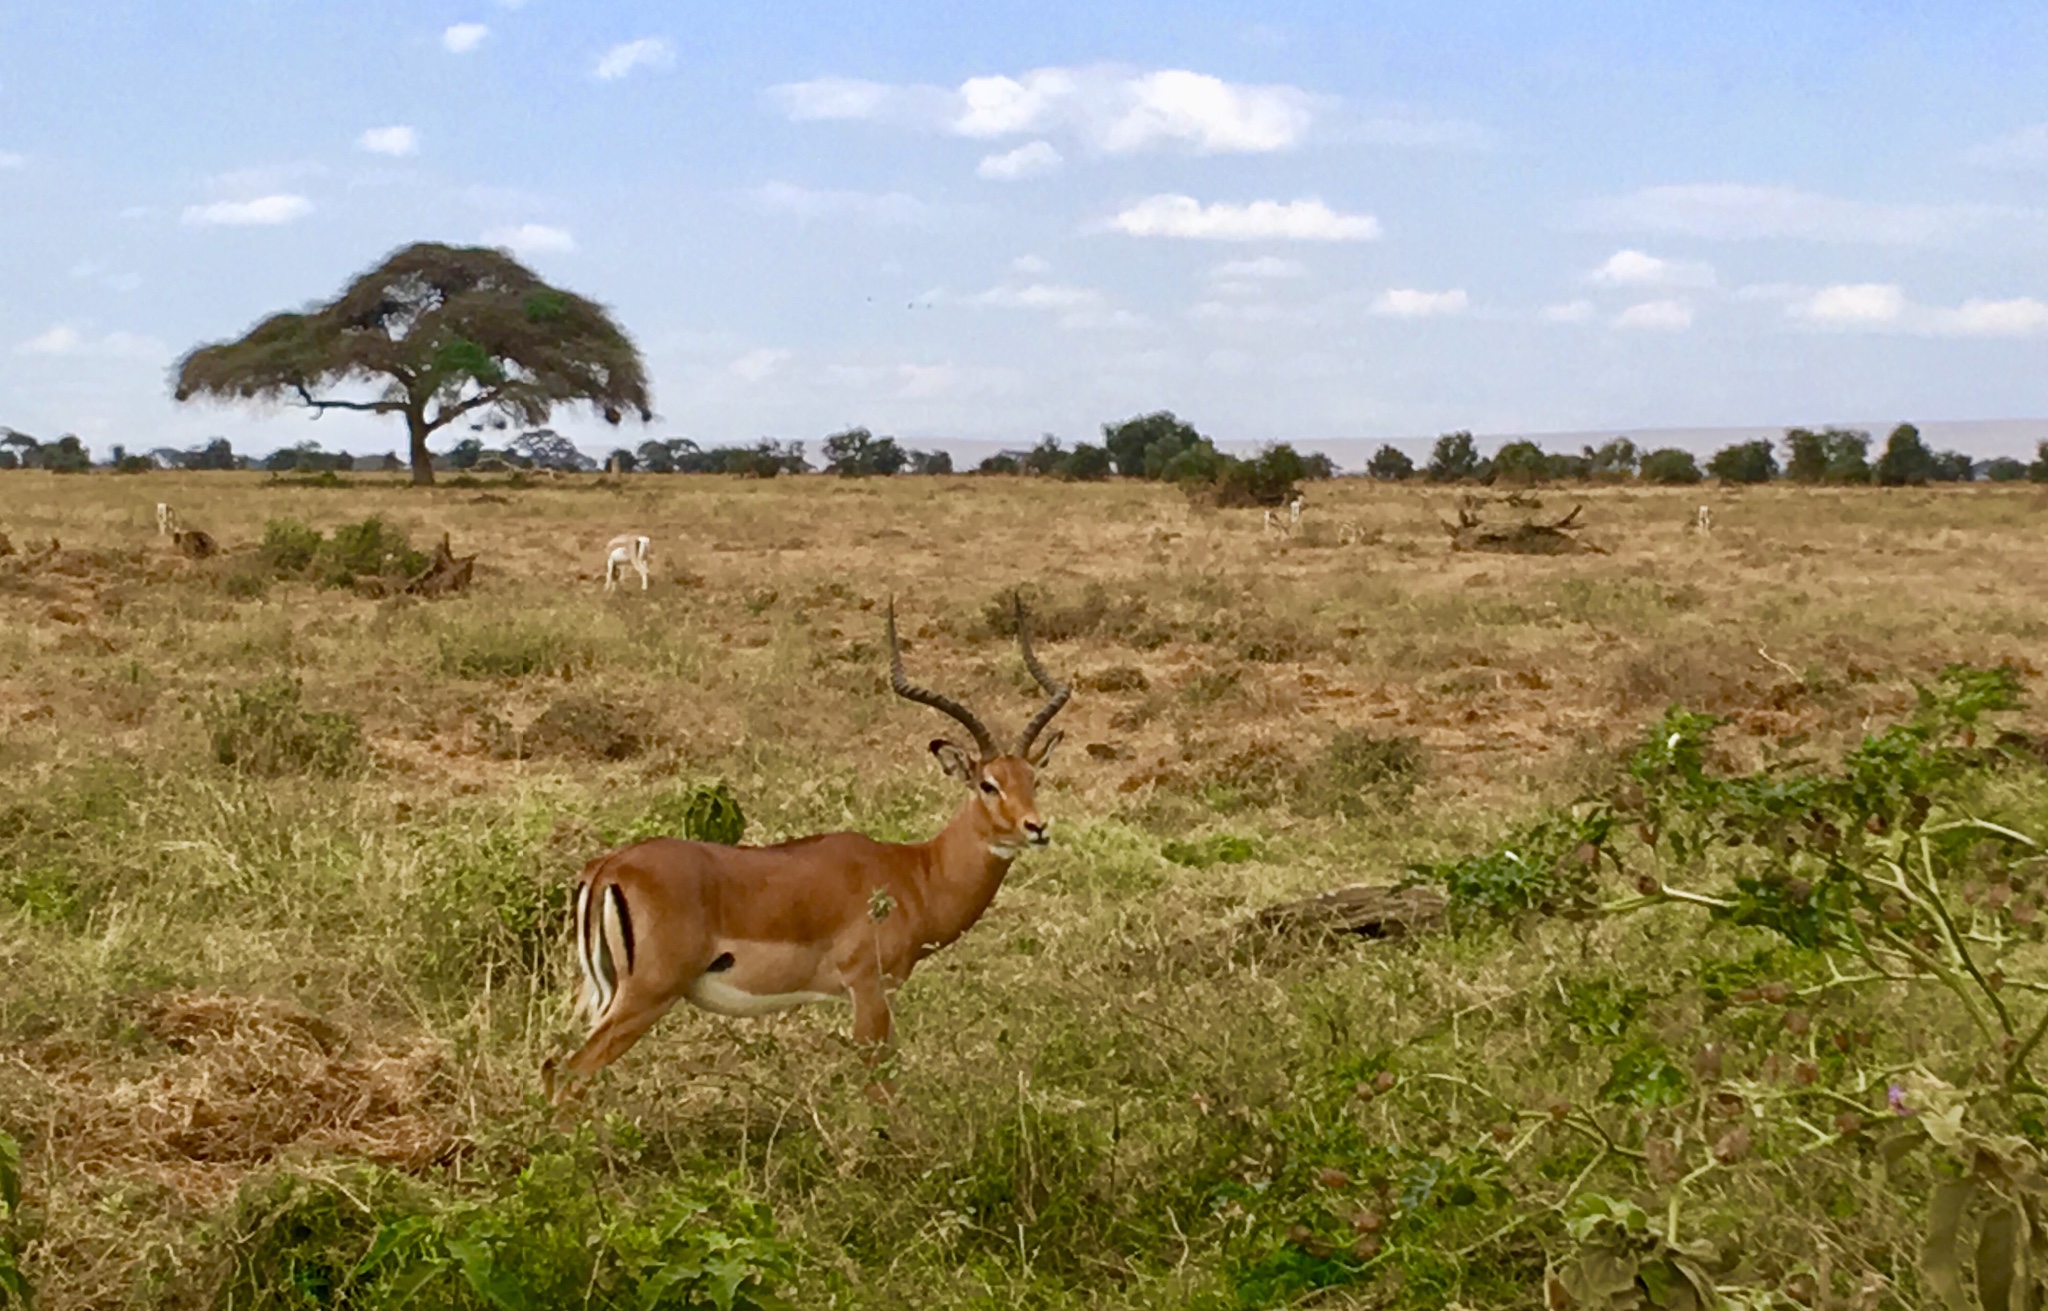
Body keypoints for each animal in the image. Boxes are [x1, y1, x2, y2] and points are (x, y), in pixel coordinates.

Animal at [548, 598, 1073, 1097]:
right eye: (988, 784)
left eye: (1033, 778)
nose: (1037, 828)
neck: (914, 874)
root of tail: (607, 867)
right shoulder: (867, 991)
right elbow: (880, 1088)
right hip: (645, 997)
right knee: (566, 1075)